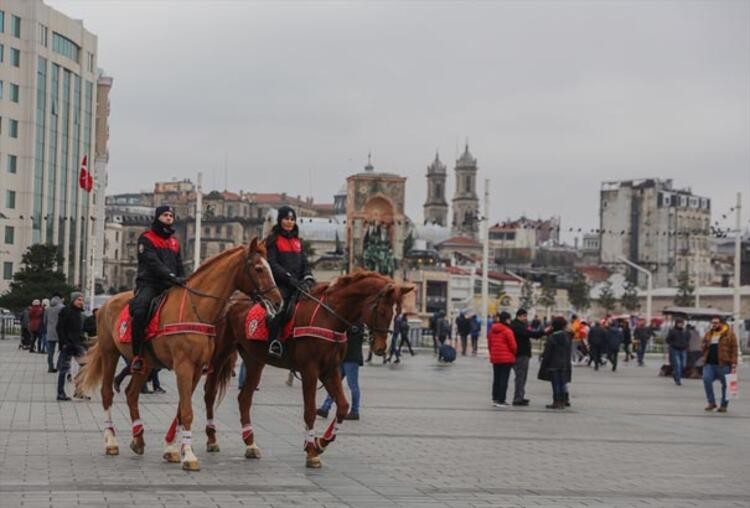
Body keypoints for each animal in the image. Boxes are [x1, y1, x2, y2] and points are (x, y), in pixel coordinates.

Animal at [77, 240, 282, 470]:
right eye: (259, 268)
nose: (278, 302)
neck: (196, 309)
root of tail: (105, 304)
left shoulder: (196, 369)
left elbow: (181, 409)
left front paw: (172, 448)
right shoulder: (183, 366)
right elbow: (187, 411)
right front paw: (189, 455)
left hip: (145, 362)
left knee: (131, 393)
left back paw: (138, 439)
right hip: (109, 352)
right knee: (107, 393)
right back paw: (111, 441)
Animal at [206, 270, 414, 468]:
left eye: (395, 312)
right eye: (380, 310)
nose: (380, 348)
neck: (329, 317)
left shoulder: (330, 370)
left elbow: (343, 406)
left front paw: (321, 442)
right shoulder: (310, 371)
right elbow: (310, 410)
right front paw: (312, 451)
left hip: (254, 360)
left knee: (244, 398)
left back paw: (250, 444)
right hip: (220, 353)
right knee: (210, 393)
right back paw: (212, 439)